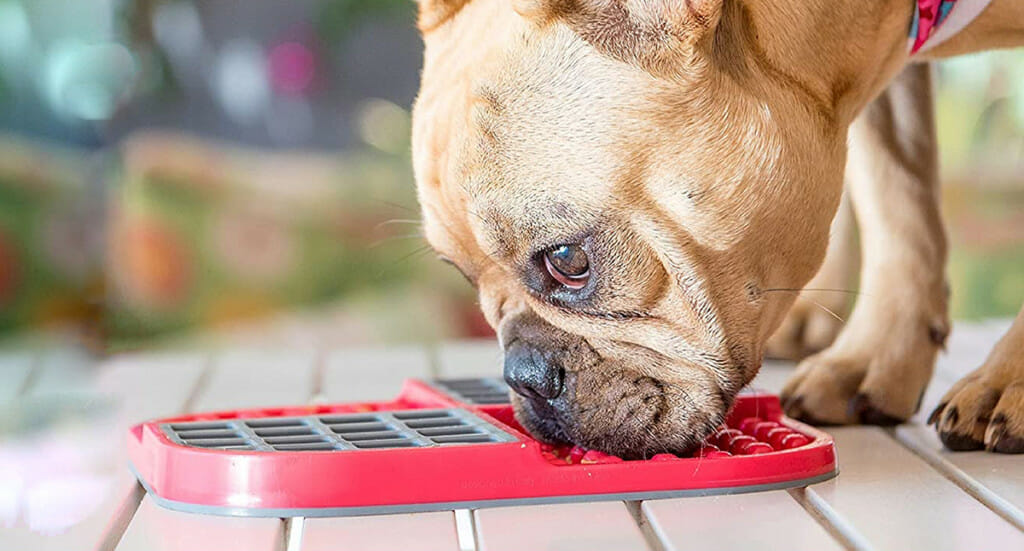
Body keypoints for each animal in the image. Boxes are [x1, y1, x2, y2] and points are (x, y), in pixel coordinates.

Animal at [407, 0, 1024, 454]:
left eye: (568, 262)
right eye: (465, 278)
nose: (524, 376)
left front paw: (1007, 382)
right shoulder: (886, 75)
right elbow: (896, 195)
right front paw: (878, 355)